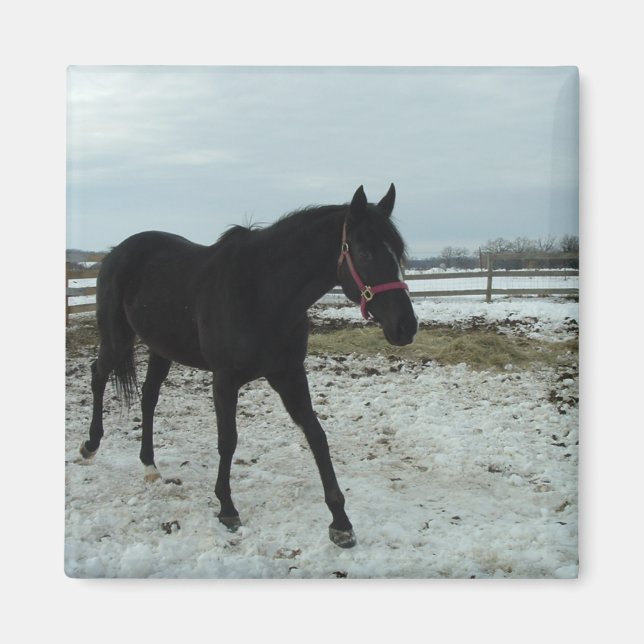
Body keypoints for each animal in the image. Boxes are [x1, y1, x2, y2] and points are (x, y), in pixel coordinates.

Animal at [79, 184, 418, 548]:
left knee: (148, 396)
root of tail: (116, 252)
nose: (406, 327)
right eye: (365, 252)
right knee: (98, 375)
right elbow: (228, 440)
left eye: (399, 251)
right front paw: (227, 508)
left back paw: (149, 466)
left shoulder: (289, 375)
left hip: (161, 349)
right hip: (117, 338)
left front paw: (340, 521)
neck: (263, 293)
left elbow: (316, 435)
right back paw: (90, 445)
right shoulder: (225, 380)